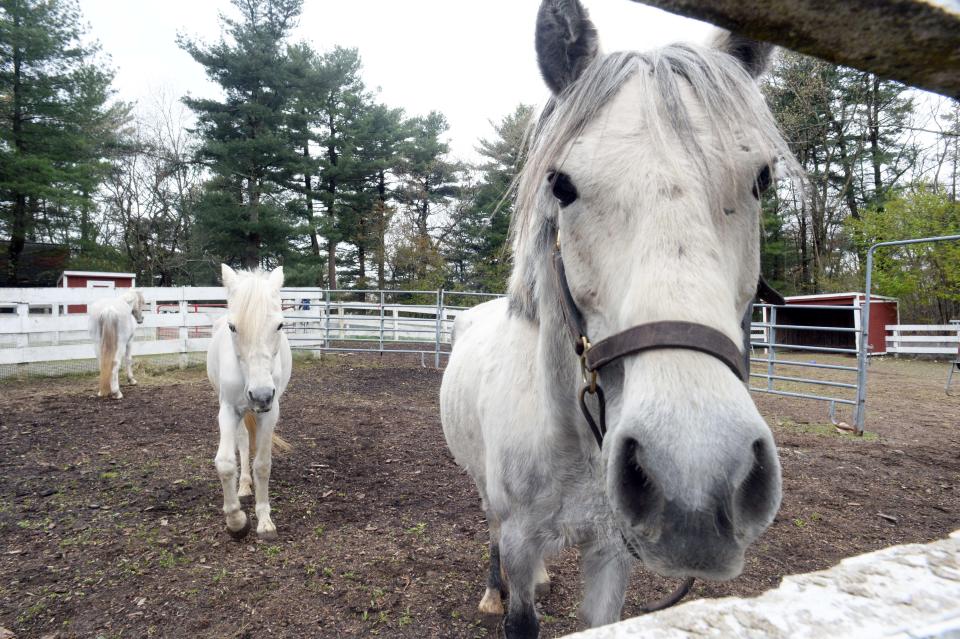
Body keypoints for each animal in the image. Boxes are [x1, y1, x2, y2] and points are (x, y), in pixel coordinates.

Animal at [205, 264, 288, 540]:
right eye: (232, 327)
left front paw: (264, 521)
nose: (260, 395)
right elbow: (225, 463)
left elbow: (262, 465)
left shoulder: (270, 412)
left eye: (279, 325)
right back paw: (243, 486)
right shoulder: (228, 410)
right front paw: (237, 521)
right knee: (241, 441)